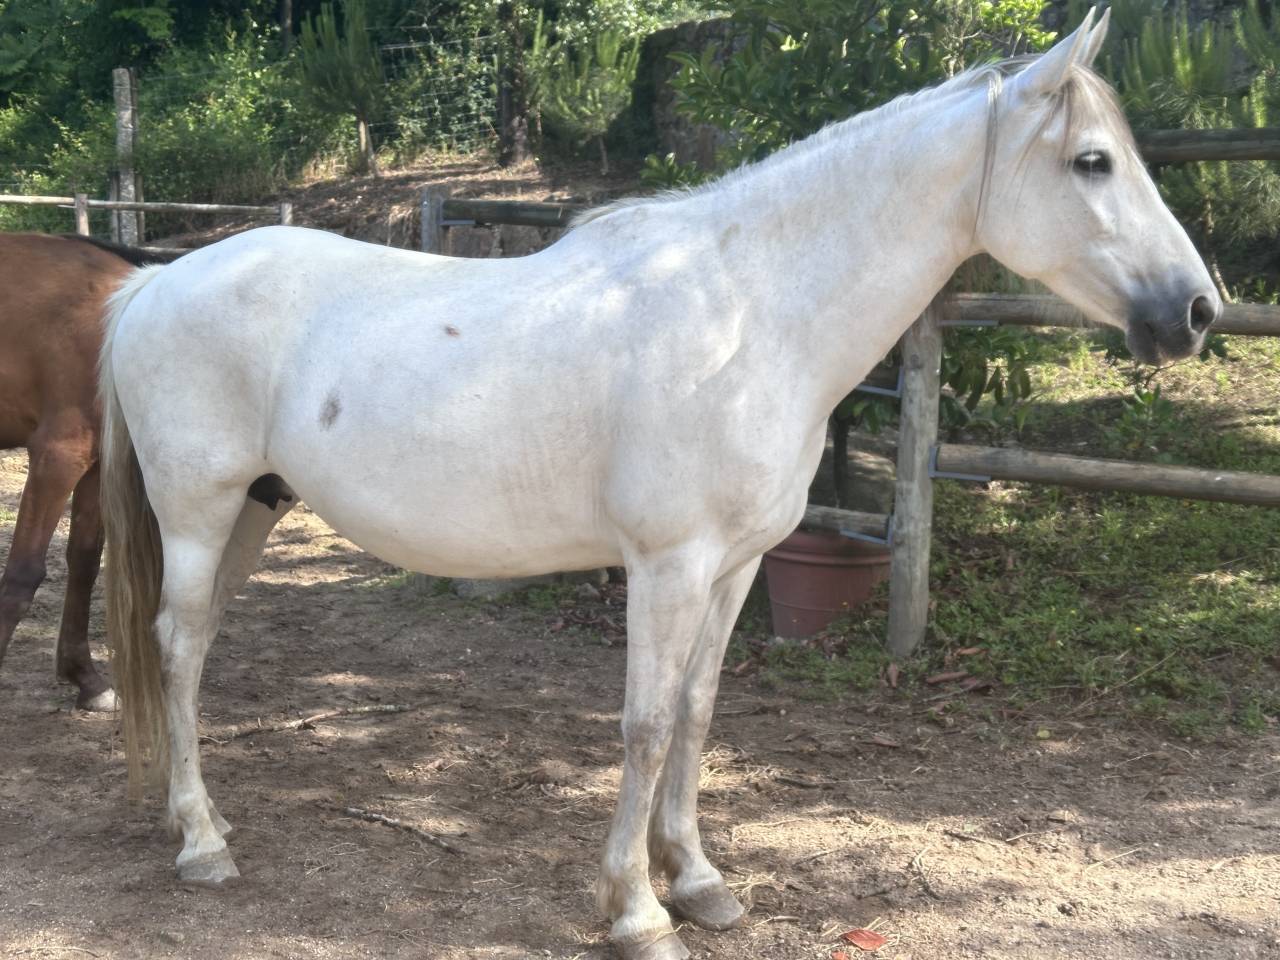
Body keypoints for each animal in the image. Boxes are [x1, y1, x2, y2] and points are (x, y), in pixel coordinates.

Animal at [99, 12, 1219, 959]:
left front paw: (699, 880)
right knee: (178, 646)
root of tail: (155, 279)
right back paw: (202, 844)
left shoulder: (735, 566)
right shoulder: (667, 566)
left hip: (253, 510)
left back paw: (197, 816)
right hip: (197, 513)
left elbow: (695, 711)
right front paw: (636, 912)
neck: (747, 316)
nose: (1197, 311)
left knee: (193, 648)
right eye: (1091, 161)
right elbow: (642, 726)